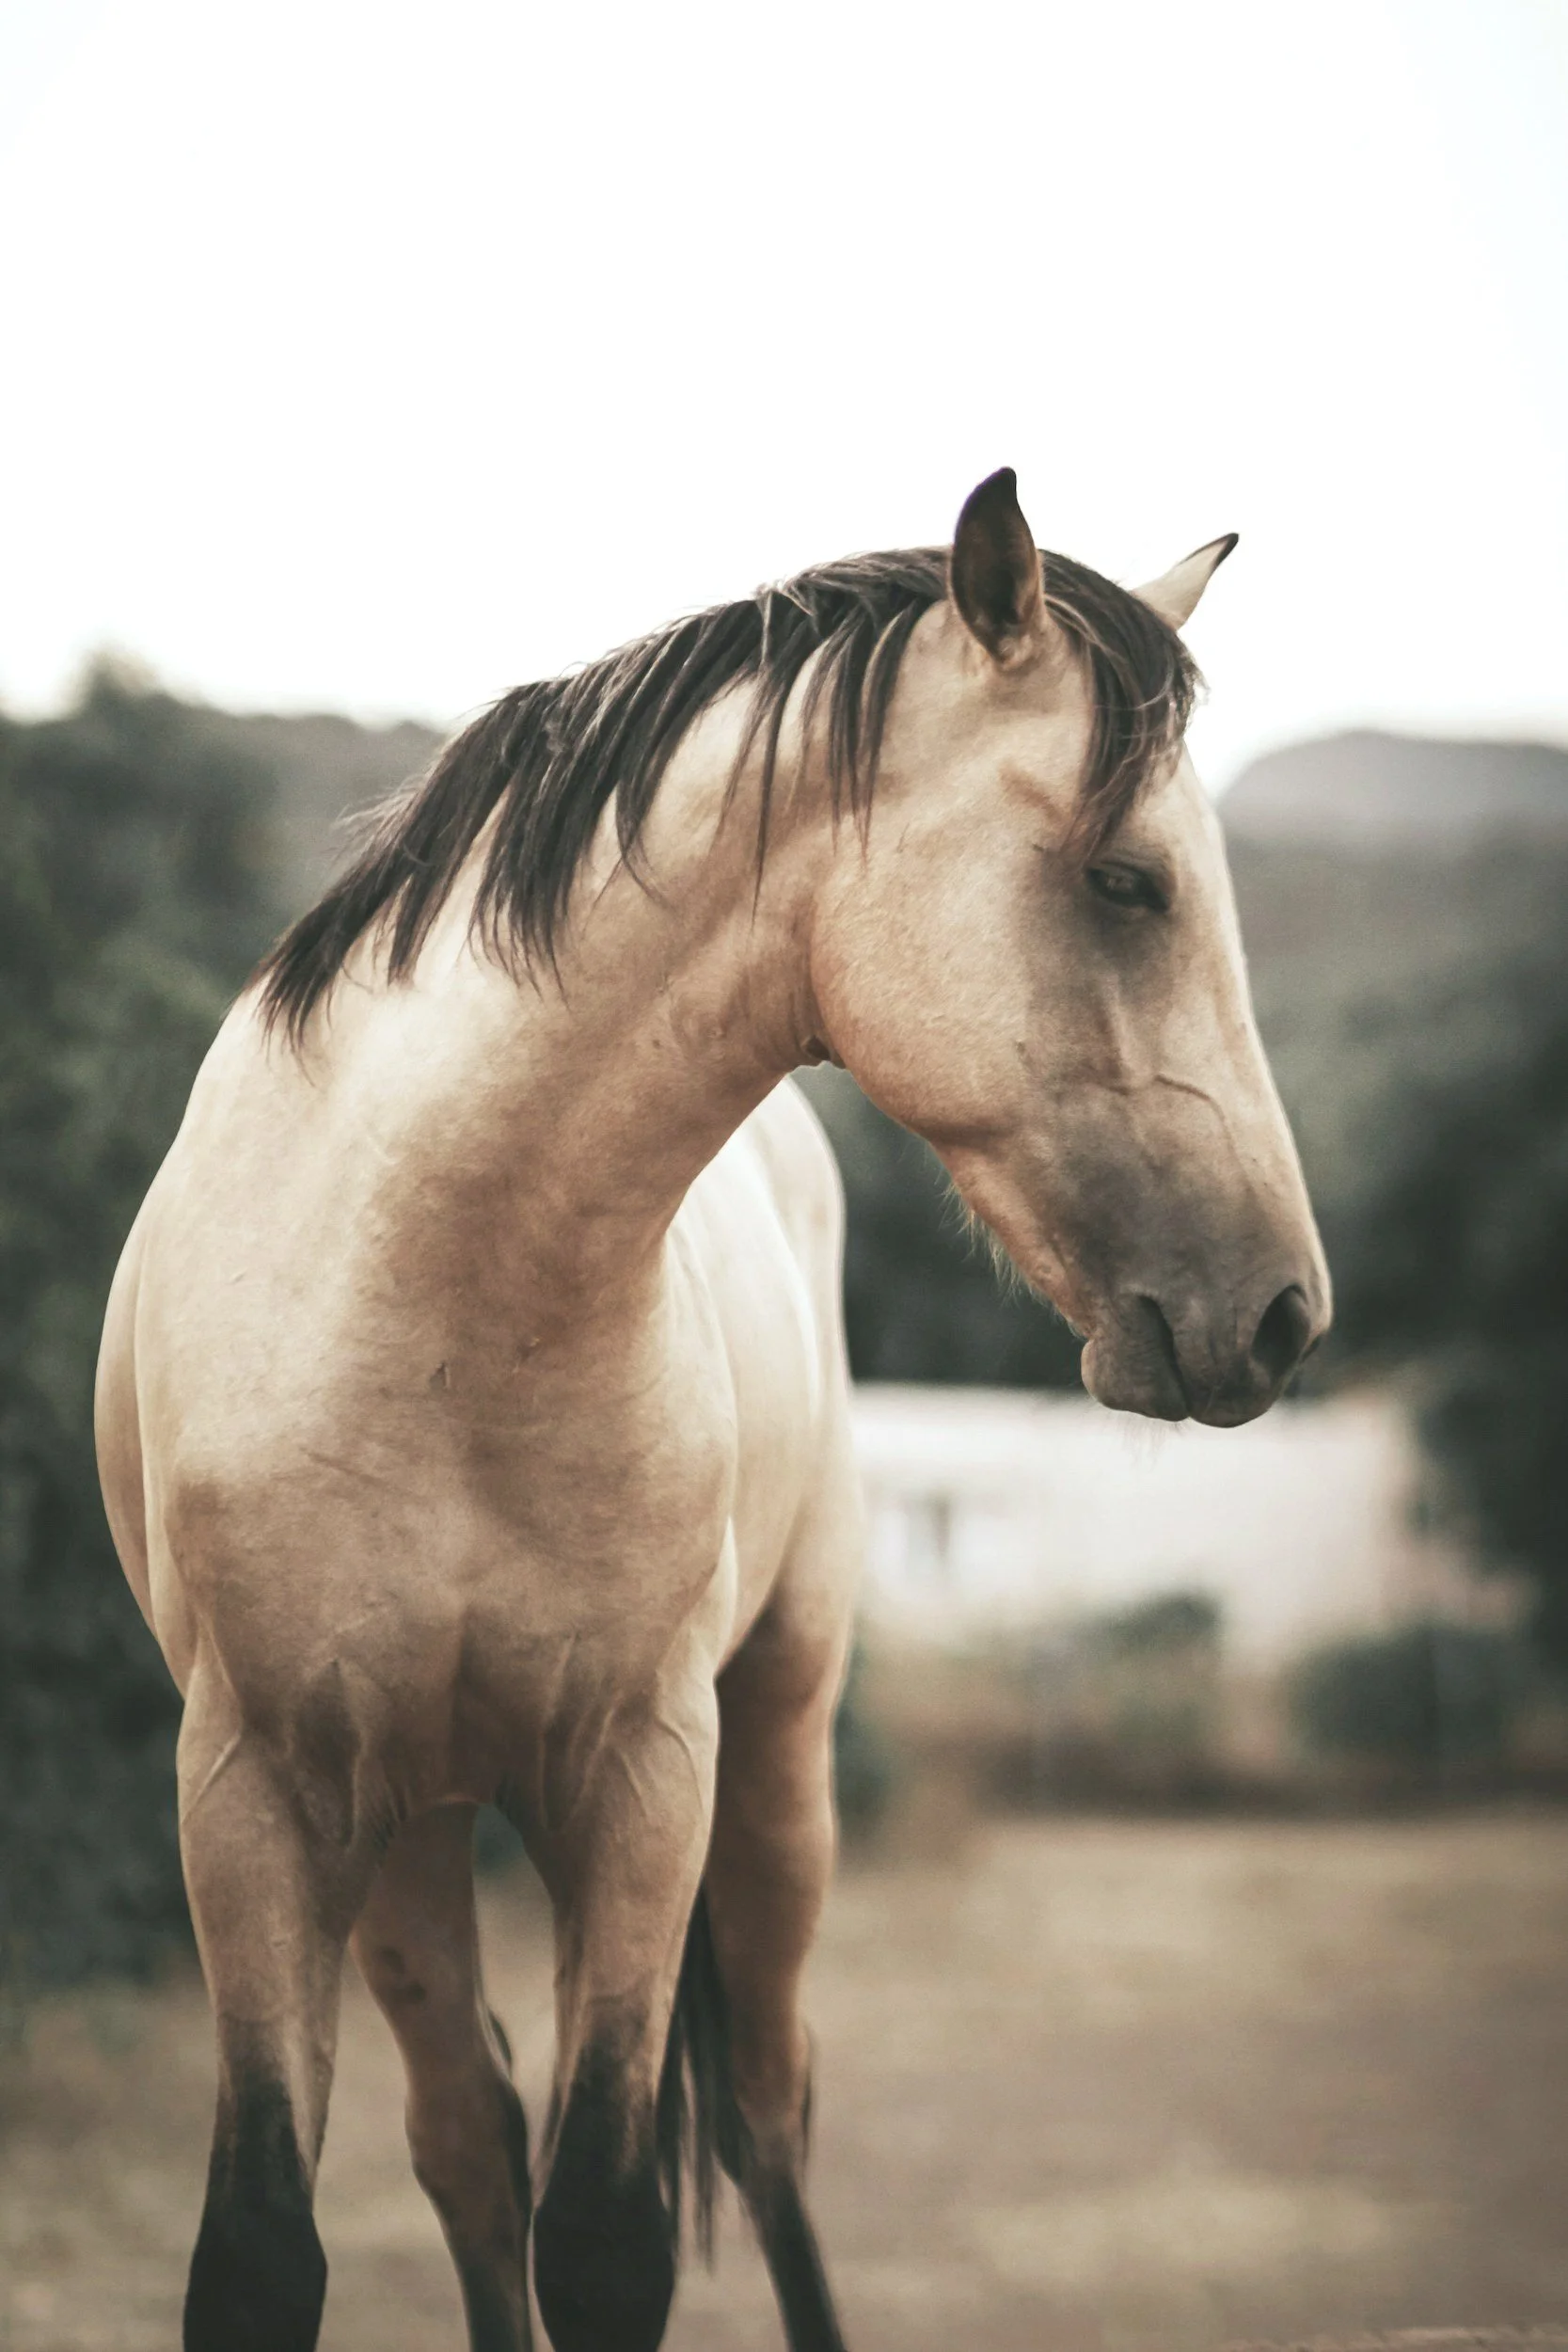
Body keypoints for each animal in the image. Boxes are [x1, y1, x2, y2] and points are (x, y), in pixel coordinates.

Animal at [94, 467, 1329, 2352]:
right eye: (1125, 881)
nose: (1279, 1313)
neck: (428, 1297)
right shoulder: (255, 1794)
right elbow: (266, 2248)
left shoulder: (641, 1774)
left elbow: (610, 2227)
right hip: (412, 1826)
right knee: (469, 2140)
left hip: (770, 1753)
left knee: (760, 2115)